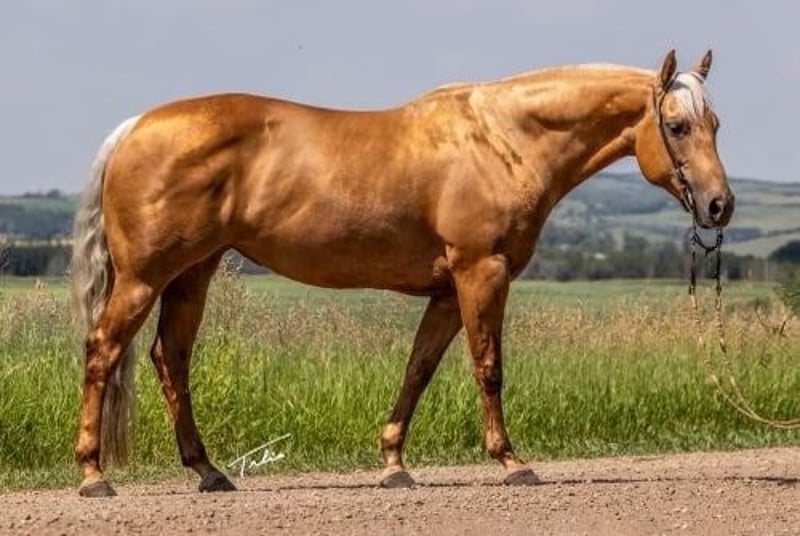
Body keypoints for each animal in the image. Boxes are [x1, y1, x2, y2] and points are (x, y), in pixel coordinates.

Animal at [70, 49, 734, 497]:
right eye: (677, 126)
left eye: (716, 124)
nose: (719, 206)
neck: (504, 139)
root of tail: (134, 127)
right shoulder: (481, 273)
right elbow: (488, 368)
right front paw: (512, 462)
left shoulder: (445, 291)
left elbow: (418, 370)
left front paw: (394, 464)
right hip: (144, 278)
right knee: (103, 350)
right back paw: (93, 474)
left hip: (192, 274)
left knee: (170, 358)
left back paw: (209, 472)